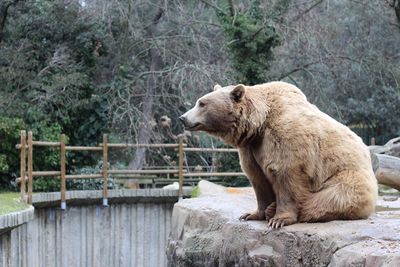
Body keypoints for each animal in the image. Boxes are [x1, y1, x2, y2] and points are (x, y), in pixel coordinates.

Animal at [181, 82, 378, 229]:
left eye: (202, 103)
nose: (183, 118)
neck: (258, 124)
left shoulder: (285, 137)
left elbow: (287, 175)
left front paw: (279, 219)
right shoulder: (251, 147)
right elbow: (257, 178)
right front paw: (251, 214)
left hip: (347, 177)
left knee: (328, 199)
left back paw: (278, 210)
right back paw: (270, 209)